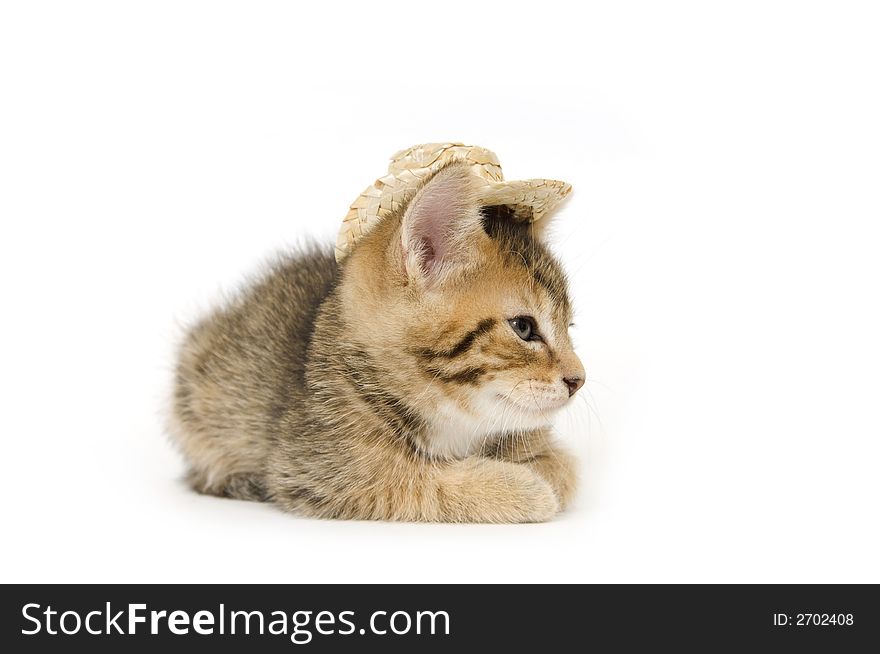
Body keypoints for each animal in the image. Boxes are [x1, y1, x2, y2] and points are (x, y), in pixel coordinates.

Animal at [171, 163, 584, 524]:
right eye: (524, 328)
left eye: (569, 325)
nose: (578, 380)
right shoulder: (315, 467)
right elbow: (411, 482)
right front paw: (520, 489)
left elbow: (565, 467)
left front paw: (540, 465)